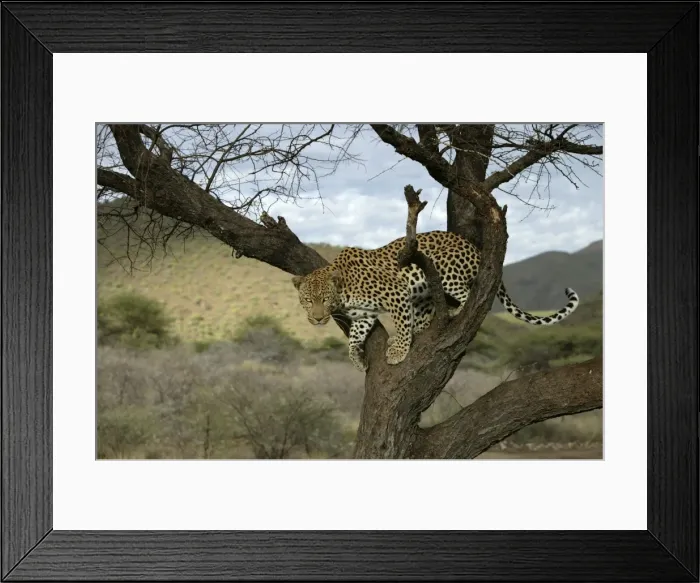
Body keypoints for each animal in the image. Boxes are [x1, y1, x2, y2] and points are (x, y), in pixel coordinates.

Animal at [292, 230, 580, 372]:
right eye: (307, 300)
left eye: (324, 299)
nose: (317, 318)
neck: (344, 291)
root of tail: (475, 248)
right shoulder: (364, 314)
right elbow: (354, 338)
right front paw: (357, 359)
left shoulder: (396, 292)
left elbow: (401, 323)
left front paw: (398, 352)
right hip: (424, 291)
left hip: (442, 270)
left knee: (469, 296)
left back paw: (451, 314)